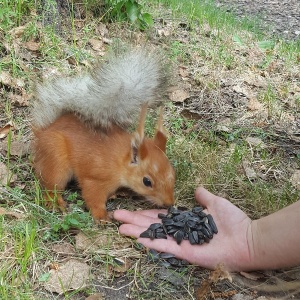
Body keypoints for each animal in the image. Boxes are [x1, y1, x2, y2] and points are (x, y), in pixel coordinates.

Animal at [31, 47, 175, 220]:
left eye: (173, 174)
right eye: (147, 182)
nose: (169, 203)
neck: (119, 161)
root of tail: (44, 131)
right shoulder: (95, 178)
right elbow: (93, 196)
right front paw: (101, 216)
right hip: (56, 159)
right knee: (50, 185)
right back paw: (55, 201)